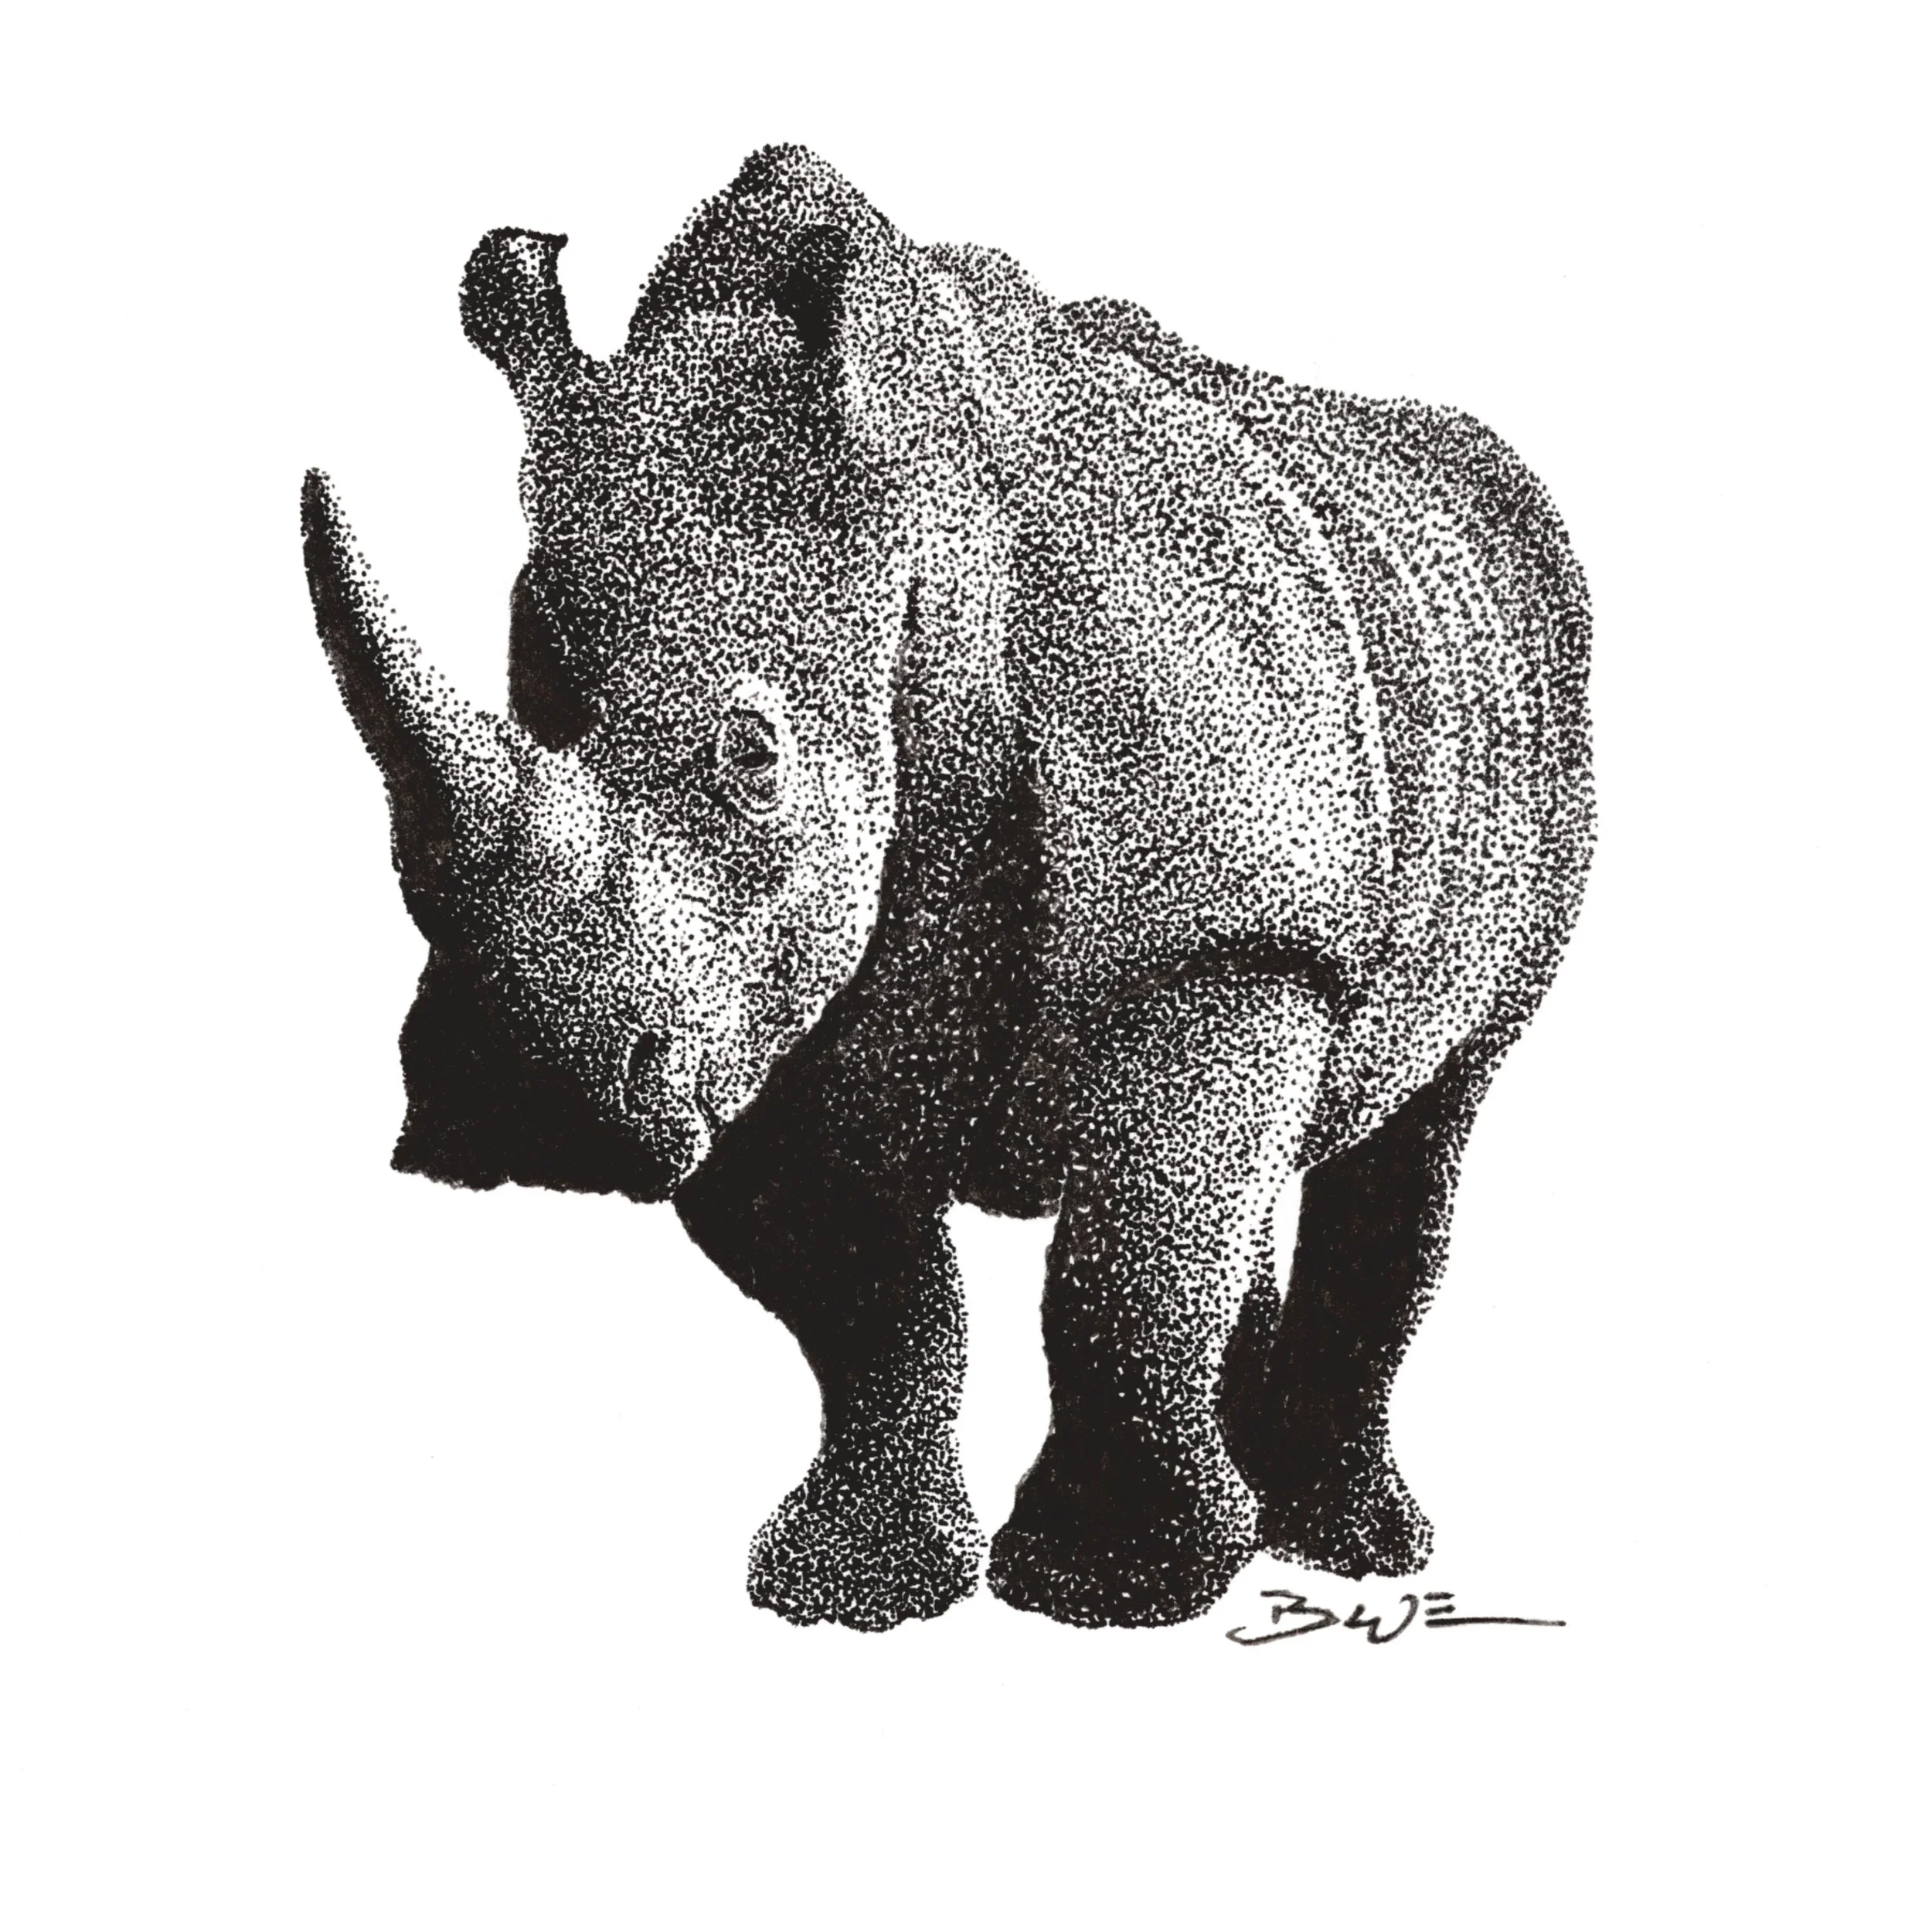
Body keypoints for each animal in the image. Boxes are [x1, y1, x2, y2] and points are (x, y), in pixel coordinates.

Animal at [301, 145, 1593, 1631]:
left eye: (755, 761)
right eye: (537, 707)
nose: (521, 1114)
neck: (922, 554)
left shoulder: (1220, 937)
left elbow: (1128, 1271)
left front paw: (1109, 1591)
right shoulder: (760, 1005)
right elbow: (867, 1302)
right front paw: (850, 1590)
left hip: (1523, 691)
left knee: (1431, 1113)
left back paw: (1348, 1547)